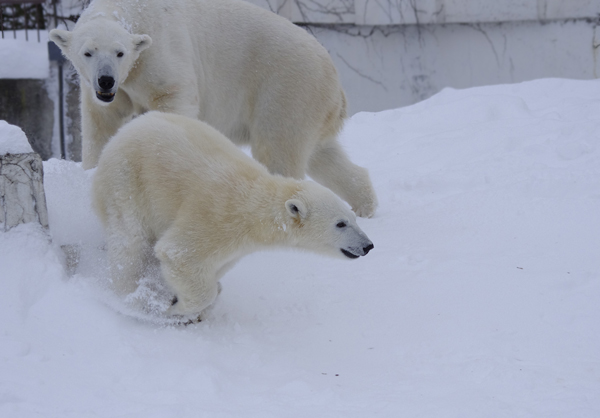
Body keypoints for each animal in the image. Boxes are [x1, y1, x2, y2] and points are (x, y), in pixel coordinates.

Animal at [52, 0, 380, 217]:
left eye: (119, 52)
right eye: (88, 52)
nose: (106, 79)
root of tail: (335, 79)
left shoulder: (160, 57)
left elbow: (173, 101)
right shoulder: (107, 90)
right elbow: (101, 123)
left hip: (286, 88)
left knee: (278, 150)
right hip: (311, 104)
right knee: (323, 155)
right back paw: (364, 205)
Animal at [92, 112, 376, 320]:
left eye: (352, 218)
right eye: (341, 223)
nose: (368, 246)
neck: (253, 204)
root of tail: (122, 132)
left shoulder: (235, 247)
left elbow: (212, 269)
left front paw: (188, 300)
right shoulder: (214, 217)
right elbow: (179, 254)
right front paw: (176, 308)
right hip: (127, 180)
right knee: (129, 241)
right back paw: (132, 298)